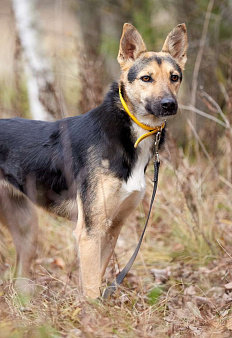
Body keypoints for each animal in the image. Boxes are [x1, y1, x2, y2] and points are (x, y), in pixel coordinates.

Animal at [0, 24, 187, 298]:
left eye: (174, 77)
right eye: (146, 78)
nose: (169, 105)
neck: (128, 134)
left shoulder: (111, 229)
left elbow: (96, 281)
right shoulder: (89, 232)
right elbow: (90, 291)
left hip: (27, 230)